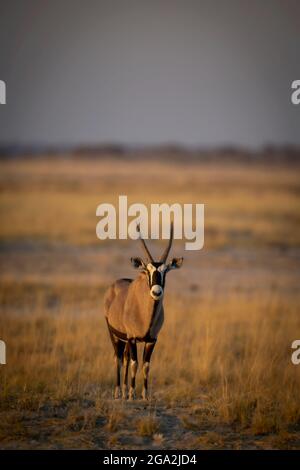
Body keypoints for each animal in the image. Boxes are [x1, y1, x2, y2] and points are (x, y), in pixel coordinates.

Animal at [103, 224, 183, 400]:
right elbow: (135, 363)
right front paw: (132, 393)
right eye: (147, 271)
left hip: (125, 340)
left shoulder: (152, 340)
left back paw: (124, 389)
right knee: (119, 359)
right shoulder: (133, 338)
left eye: (166, 271)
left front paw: (145, 394)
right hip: (115, 336)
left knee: (125, 358)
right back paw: (119, 391)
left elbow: (146, 365)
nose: (156, 292)